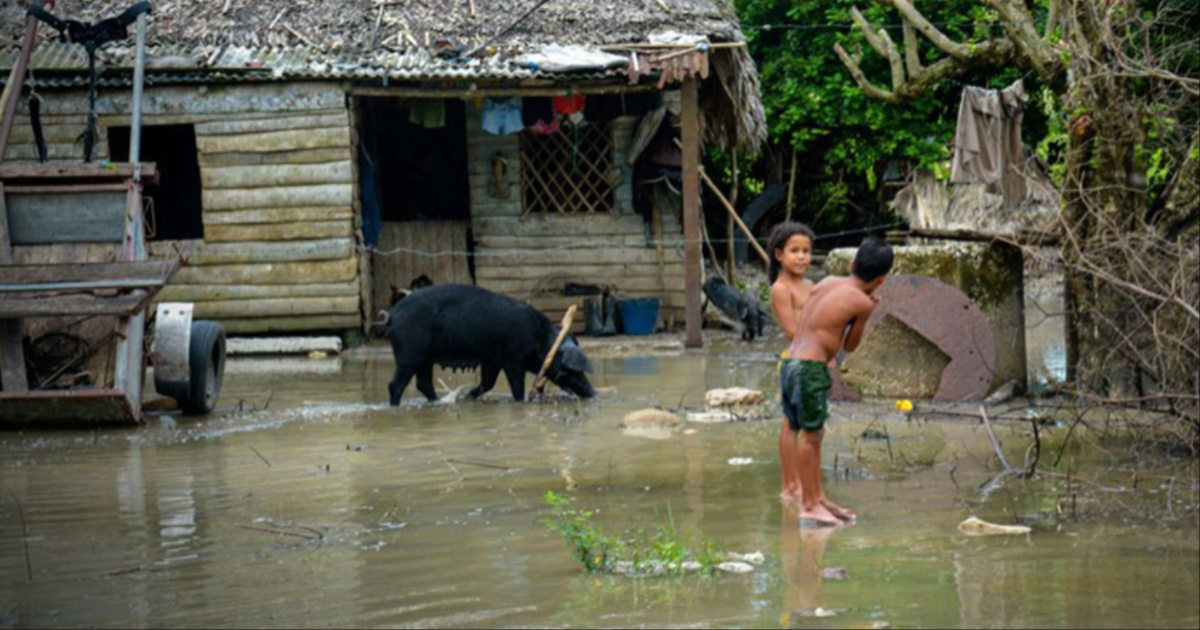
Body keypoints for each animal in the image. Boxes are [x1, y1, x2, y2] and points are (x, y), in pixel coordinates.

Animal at [384, 283, 595, 405]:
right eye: (570, 369)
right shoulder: (513, 359)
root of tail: (393, 314)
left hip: (424, 359)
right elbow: (516, 387)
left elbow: (488, 382)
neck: (542, 340)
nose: (592, 392)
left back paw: (439, 402)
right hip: (409, 355)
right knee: (395, 384)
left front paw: (468, 397)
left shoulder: (492, 360)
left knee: (424, 384)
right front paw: (521, 402)